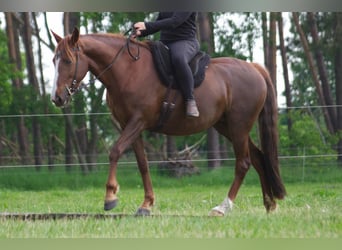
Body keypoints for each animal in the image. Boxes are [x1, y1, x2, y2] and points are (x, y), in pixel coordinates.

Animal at [51, 26, 286, 215]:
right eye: (54, 60)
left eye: (68, 61)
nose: (57, 98)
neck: (128, 70)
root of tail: (255, 68)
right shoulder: (130, 125)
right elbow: (142, 164)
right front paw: (146, 204)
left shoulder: (137, 121)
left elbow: (115, 151)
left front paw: (110, 197)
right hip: (227, 127)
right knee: (258, 158)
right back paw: (269, 204)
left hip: (239, 127)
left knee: (243, 163)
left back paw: (223, 207)